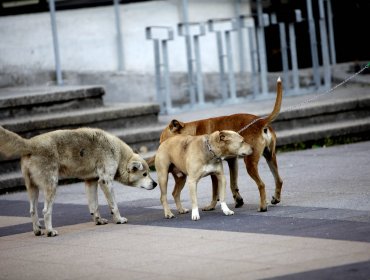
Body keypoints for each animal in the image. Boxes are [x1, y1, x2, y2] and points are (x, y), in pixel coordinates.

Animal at [0, 127, 157, 236]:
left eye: (149, 173)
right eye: (144, 174)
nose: (155, 184)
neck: (117, 153)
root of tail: (30, 143)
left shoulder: (91, 182)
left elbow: (94, 206)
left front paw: (98, 221)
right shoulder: (106, 181)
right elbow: (114, 205)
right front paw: (118, 219)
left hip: (32, 187)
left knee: (33, 210)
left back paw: (38, 231)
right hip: (51, 185)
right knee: (46, 211)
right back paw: (50, 231)